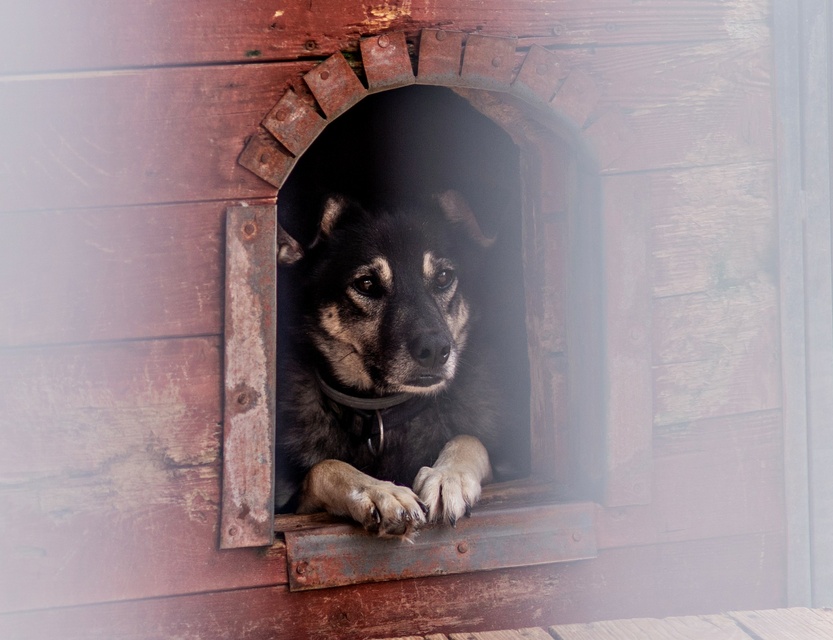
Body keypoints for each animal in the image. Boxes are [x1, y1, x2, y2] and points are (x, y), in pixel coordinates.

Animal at [276, 192, 504, 536]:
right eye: (367, 283)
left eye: (443, 277)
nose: (435, 350)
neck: (382, 413)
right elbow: (325, 467)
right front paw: (381, 491)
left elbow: (470, 439)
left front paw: (447, 477)